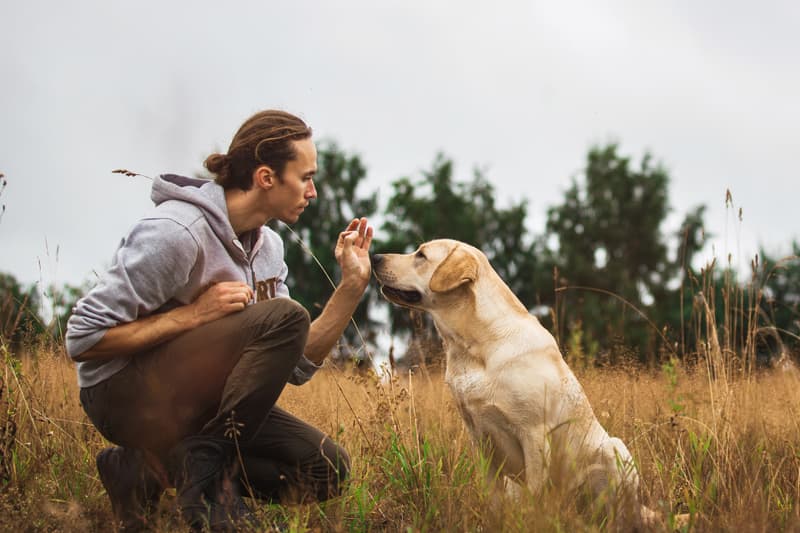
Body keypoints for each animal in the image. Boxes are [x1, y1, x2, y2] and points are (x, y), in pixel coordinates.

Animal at [372, 239, 660, 524]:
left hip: (614, 449)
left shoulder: (534, 433)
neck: (473, 346)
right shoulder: (479, 437)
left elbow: (535, 495)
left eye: (421, 255)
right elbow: (492, 497)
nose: (374, 257)